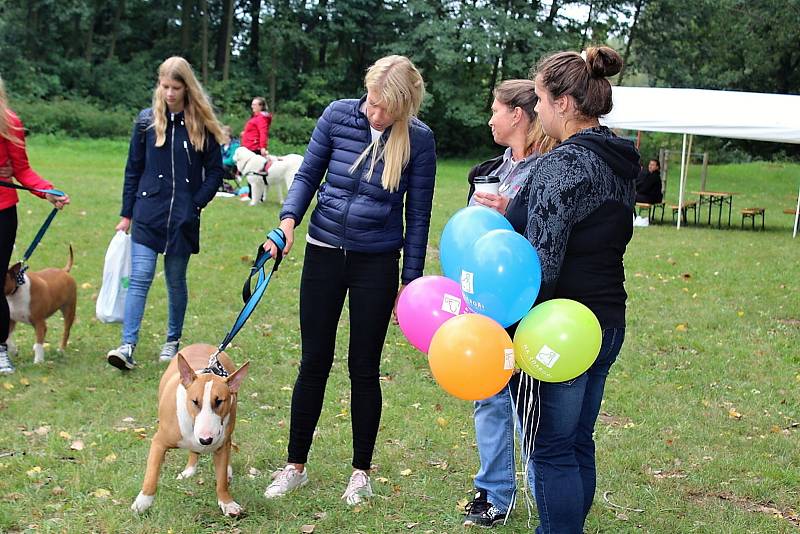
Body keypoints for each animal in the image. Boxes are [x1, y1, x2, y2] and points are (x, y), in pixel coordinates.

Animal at [131, 346, 250, 516]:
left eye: (219, 401)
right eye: (195, 401)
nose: (206, 440)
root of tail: (202, 344)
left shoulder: (221, 445)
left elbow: (221, 480)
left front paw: (227, 503)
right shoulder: (159, 442)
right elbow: (151, 474)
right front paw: (142, 503)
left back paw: (226, 470)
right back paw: (189, 470)